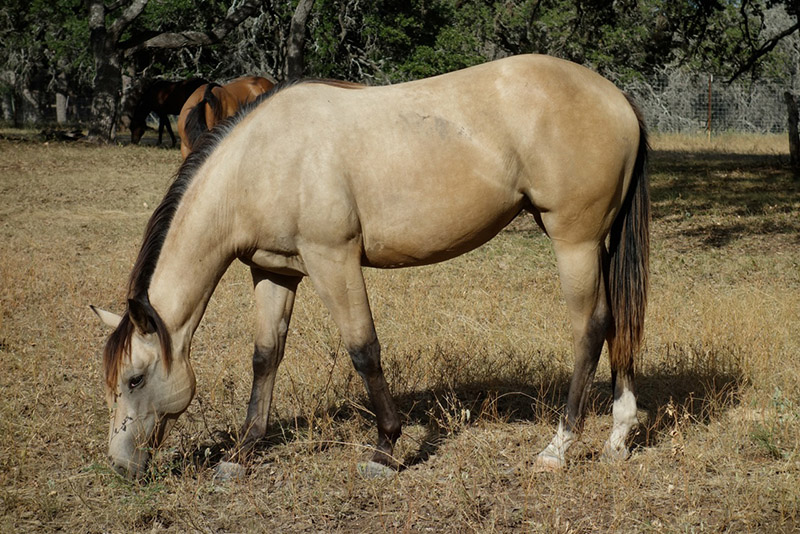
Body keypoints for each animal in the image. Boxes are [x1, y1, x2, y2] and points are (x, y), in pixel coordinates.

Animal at [92, 55, 648, 482]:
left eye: (135, 380)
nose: (120, 466)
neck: (262, 160)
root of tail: (616, 98)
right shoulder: (275, 271)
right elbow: (265, 357)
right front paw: (242, 453)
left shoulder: (332, 259)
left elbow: (363, 350)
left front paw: (385, 449)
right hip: (597, 245)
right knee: (617, 324)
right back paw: (618, 437)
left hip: (574, 243)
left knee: (590, 328)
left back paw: (558, 447)